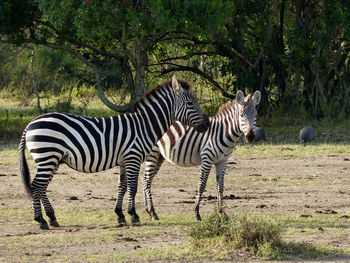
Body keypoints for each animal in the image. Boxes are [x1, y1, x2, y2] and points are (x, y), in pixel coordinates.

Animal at [18, 77, 208, 231]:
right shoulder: (133, 157)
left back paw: (52, 218)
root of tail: (29, 124)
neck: (143, 126)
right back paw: (41, 220)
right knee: (37, 186)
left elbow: (122, 187)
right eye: (190, 104)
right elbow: (133, 187)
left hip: (53, 159)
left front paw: (120, 215)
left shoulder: (124, 161)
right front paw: (134, 216)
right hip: (47, 157)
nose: (207, 125)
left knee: (42, 187)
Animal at [140, 89, 260, 222]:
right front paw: (196, 212)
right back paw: (152, 212)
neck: (223, 132)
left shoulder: (222, 161)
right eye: (241, 115)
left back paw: (148, 211)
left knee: (145, 179)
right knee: (146, 180)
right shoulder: (207, 158)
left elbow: (220, 186)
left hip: (160, 157)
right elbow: (202, 184)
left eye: (255, 116)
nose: (250, 136)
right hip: (153, 153)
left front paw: (221, 213)